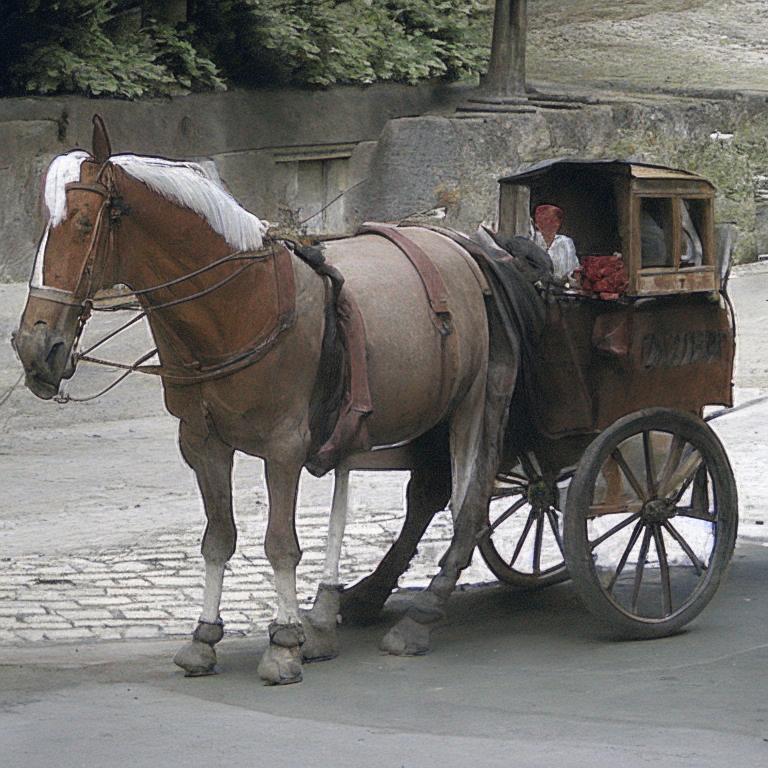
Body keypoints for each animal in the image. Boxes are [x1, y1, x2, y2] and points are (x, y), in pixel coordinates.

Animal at [13, 117, 518, 684]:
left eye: (83, 223)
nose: (35, 347)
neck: (239, 304)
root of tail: (464, 249)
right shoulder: (202, 443)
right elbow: (218, 537)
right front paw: (205, 636)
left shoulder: (284, 446)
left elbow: (280, 543)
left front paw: (284, 641)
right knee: (418, 492)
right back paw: (336, 610)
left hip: (473, 406)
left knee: (468, 502)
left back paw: (418, 614)